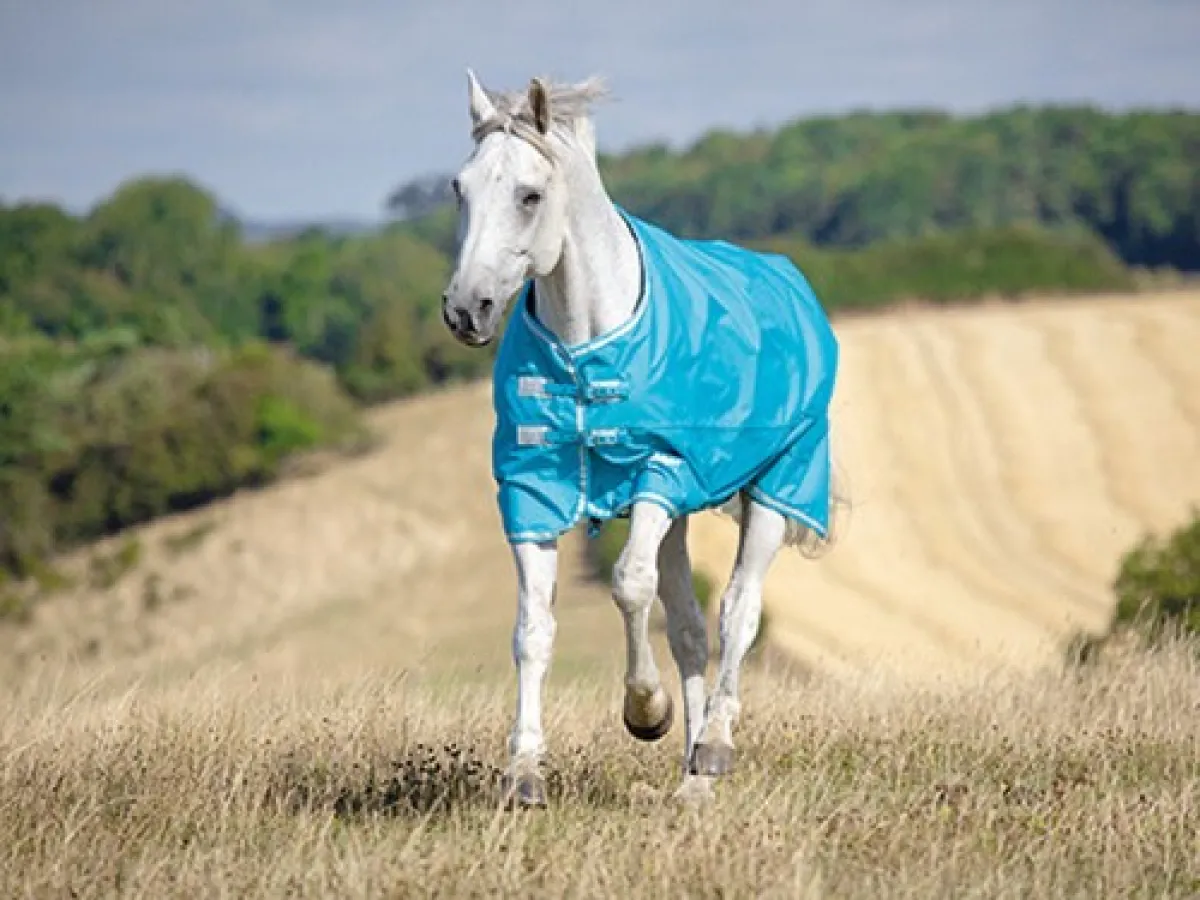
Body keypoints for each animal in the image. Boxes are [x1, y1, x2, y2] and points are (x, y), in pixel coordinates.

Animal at [441, 70, 847, 805]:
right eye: (460, 188)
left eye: (529, 194)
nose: (466, 309)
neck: (586, 346)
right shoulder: (530, 492)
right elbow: (533, 629)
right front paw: (524, 773)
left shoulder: (661, 470)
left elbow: (629, 585)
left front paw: (645, 712)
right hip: (684, 518)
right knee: (689, 627)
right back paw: (690, 780)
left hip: (779, 485)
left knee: (739, 611)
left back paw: (713, 746)